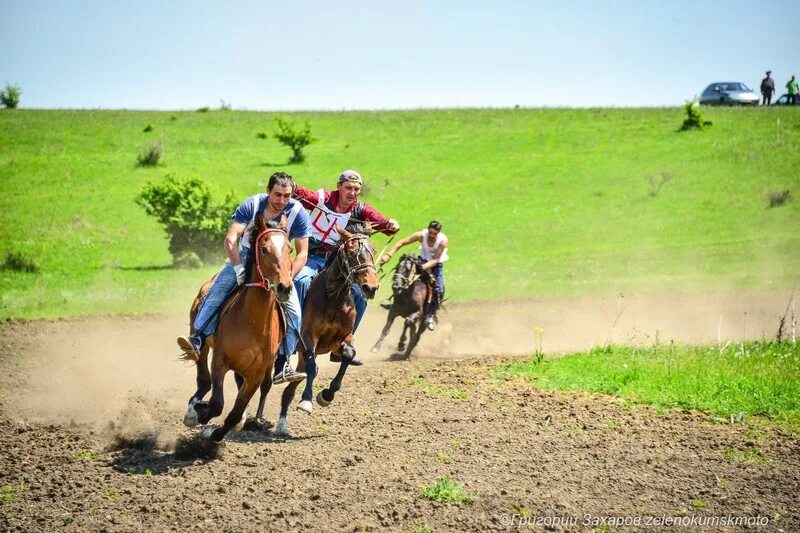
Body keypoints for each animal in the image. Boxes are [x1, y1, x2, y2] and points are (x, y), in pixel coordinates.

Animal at [182, 212, 294, 440]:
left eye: (289, 249)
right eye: (264, 249)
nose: (284, 288)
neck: (253, 323)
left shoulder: (256, 374)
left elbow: (235, 411)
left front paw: (216, 434)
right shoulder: (220, 359)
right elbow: (217, 403)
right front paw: (202, 413)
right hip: (202, 343)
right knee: (203, 378)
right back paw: (192, 411)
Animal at [260, 224, 378, 436]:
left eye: (372, 251)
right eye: (351, 251)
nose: (370, 287)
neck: (333, 297)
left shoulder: (342, 338)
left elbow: (347, 354)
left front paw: (327, 395)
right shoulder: (308, 337)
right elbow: (313, 367)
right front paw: (307, 401)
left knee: (289, 390)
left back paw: (282, 424)